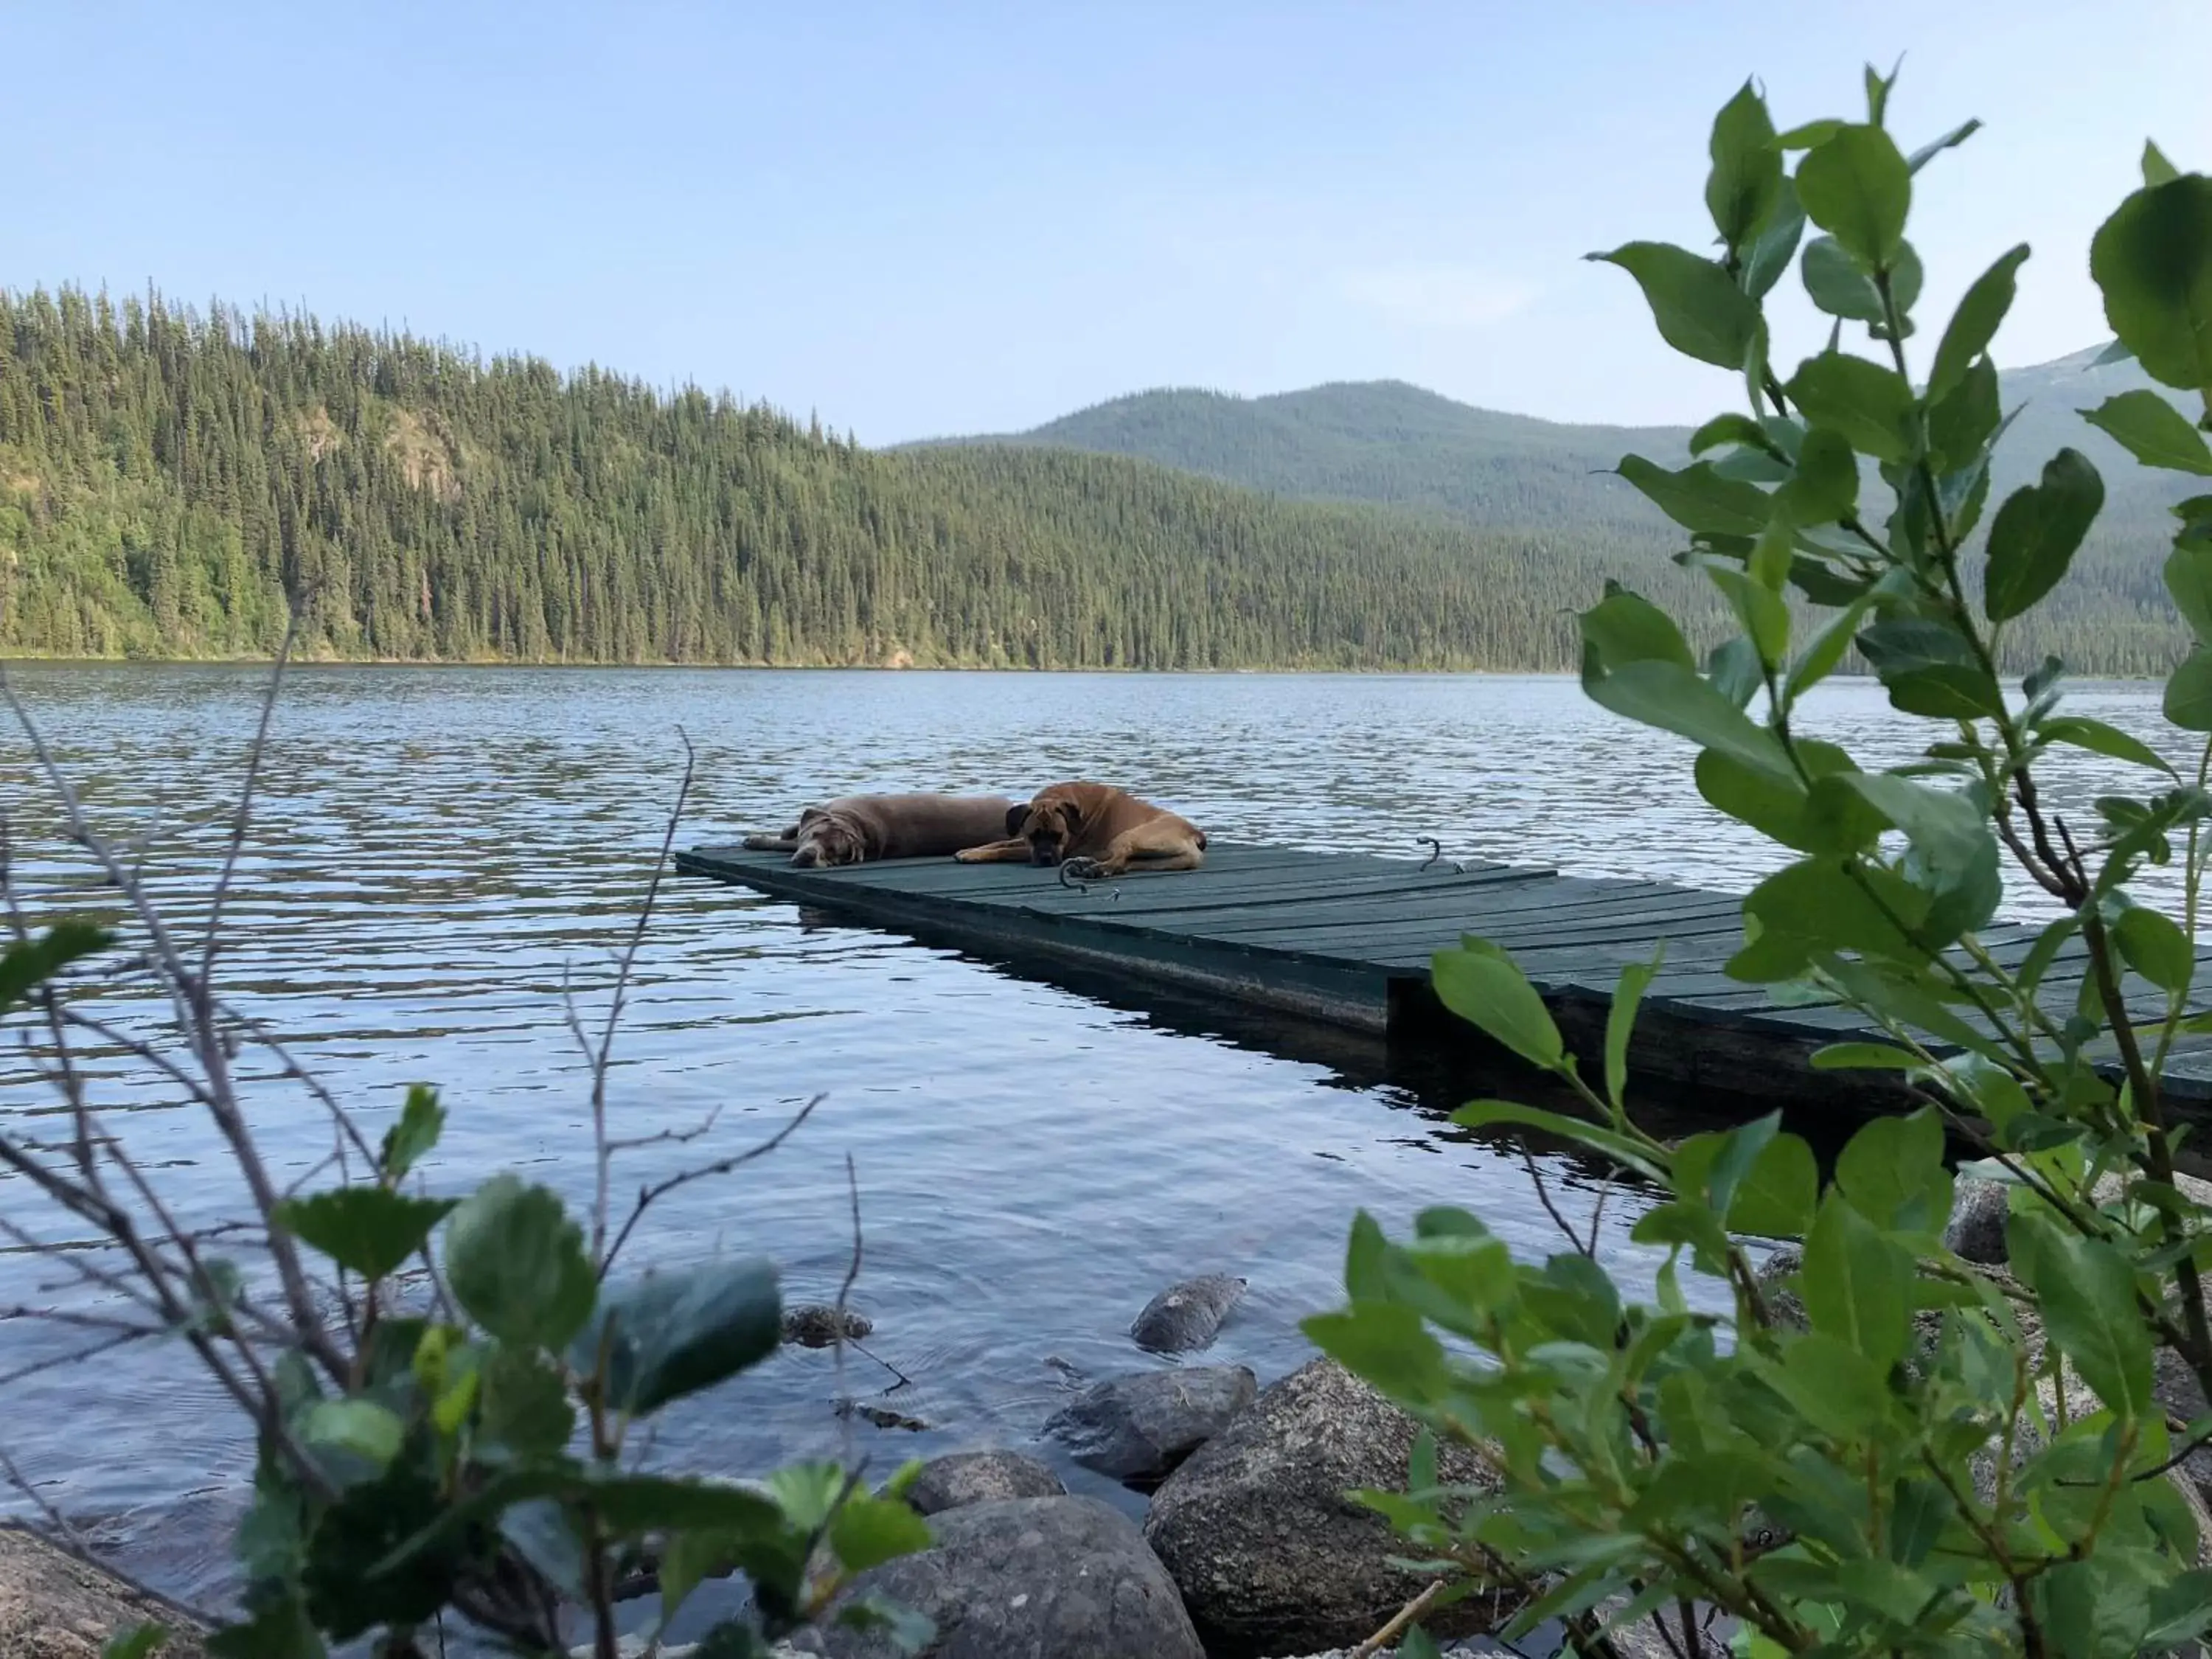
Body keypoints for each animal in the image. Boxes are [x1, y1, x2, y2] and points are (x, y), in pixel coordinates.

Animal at [956, 783, 1212, 876]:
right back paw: (1091, 865)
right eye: (1033, 836)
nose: (1046, 858)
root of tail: (1194, 833)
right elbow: (1000, 842)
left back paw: (1095, 869)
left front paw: (974, 855)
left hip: (1129, 836)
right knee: (1126, 864)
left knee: (1119, 859)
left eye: (1058, 836)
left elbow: (1004, 849)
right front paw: (970, 850)